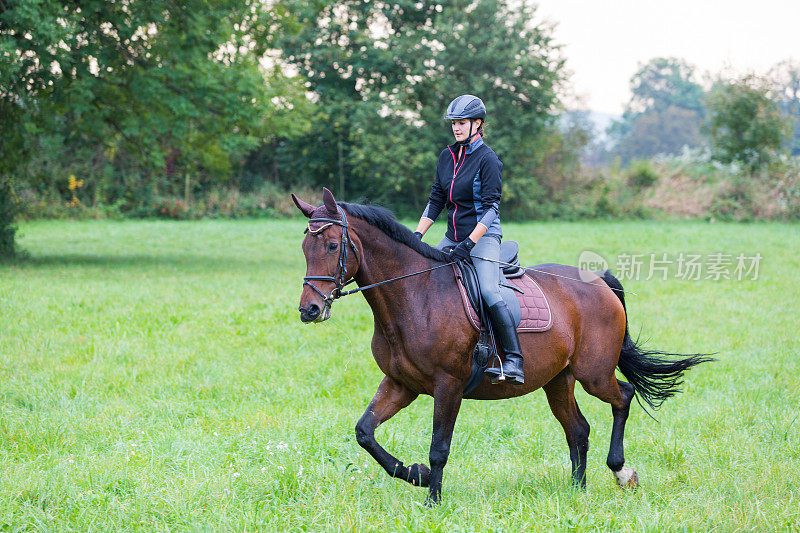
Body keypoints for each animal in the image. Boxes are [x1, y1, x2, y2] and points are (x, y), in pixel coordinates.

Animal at [290, 189, 708, 504]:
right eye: (304, 247)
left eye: (332, 245)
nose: (309, 310)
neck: (415, 295)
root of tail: (600, 281)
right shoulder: (401, 384)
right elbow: (365, 432)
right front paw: (415, 474)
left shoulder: (449, 385)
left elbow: (439, 445)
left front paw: (432, 500)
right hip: (558, 380)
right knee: (578, 429)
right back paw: (577, 490)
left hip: (593, 373)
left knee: (623, 396)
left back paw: (622, 472)